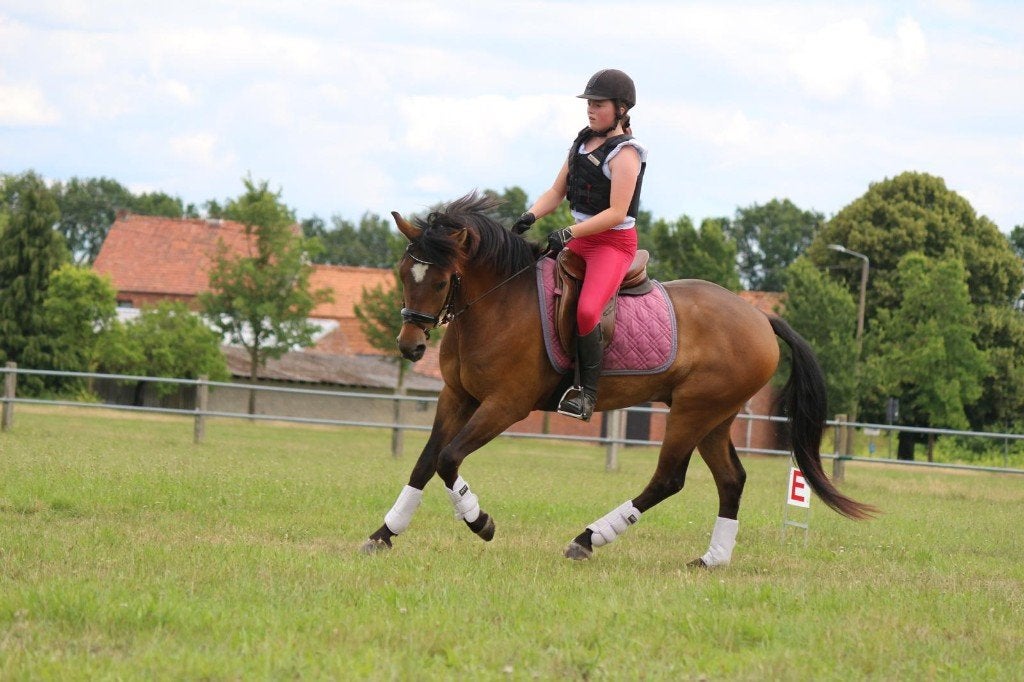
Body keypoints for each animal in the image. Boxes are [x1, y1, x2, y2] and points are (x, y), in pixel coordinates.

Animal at [361, 193, 875, 565]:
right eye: (405, 273)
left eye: (442, 279)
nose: (410, 347)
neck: (497, 304)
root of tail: (760, 317)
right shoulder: (457, 397)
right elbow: (426, 462)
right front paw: (384, 534)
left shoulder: (505, 405)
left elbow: (449, 459)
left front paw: (479, 521)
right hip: (716, 417)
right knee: (731, 480)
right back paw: (712, 560)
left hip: (694, 411)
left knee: (668, 479)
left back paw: (588, 539)